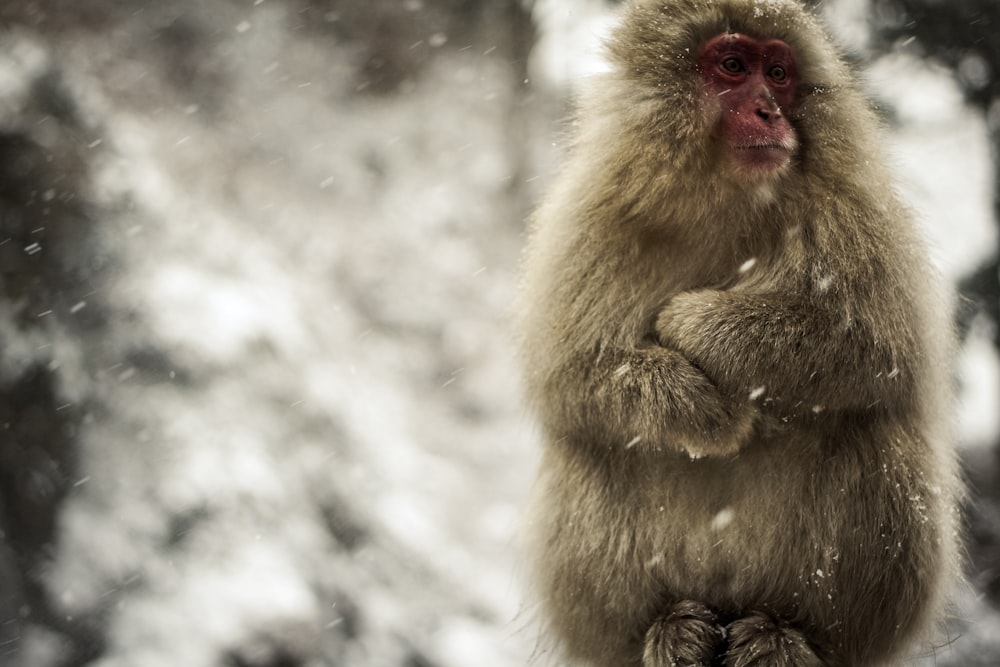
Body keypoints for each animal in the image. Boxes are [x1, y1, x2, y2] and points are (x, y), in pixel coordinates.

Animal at [516, 1, 960, 667]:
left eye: (777, 72)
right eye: (732, 66)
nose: (769, 111)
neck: (723, 200)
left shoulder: (853, 212)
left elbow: (883, 351)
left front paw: (698, 325)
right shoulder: (590, 218)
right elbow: (568, 376)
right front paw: (704, 409)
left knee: (874, 430)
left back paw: (786, 635)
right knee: (590, 446)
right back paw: (668, 629)